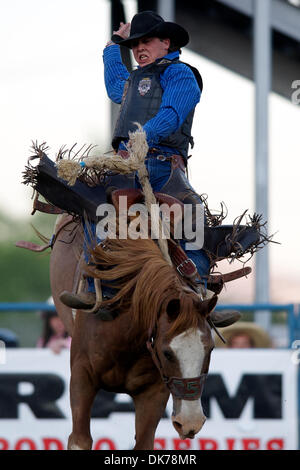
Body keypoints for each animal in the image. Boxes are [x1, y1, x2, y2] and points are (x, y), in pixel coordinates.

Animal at [49, 215, 218, 450]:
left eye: (210, 350)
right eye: (166, 353)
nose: (190, 421)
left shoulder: (154, 392)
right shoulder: (82, 376)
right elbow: (80, 440)